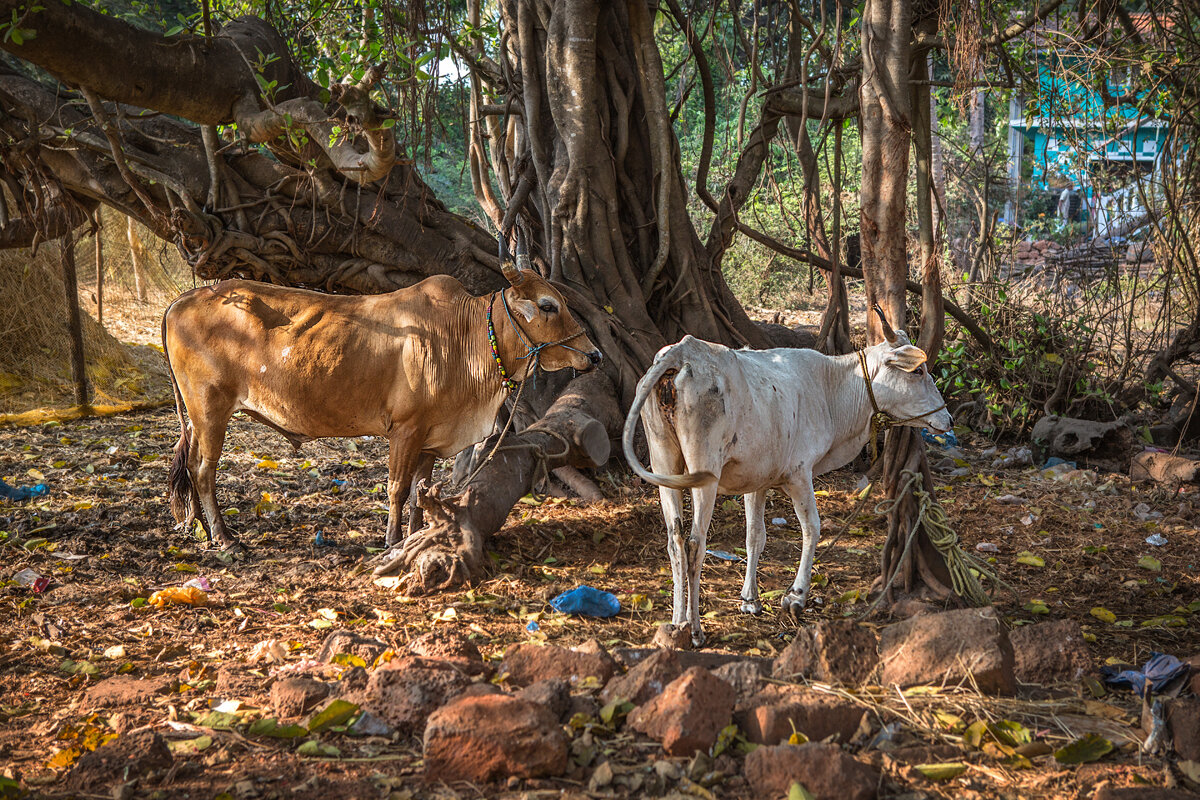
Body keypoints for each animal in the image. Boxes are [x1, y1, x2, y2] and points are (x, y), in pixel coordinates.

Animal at [162, 260, 600, 554]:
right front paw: (392, 540)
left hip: (199, 418)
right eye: (547, 305)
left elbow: (420, 490)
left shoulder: (430, 436)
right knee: (204, 471)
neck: (465, 336)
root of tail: (184, 298)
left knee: (189, 465)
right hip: (210, 411)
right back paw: (222, 537)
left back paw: (196, 526)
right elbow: (397, 488)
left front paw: (420, 532)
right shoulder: (405, 430)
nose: (594, 355)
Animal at [624, 309, 950, 647]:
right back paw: (696, 629)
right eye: (918, 371)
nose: (947, 419)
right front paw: (796, 596)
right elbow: (811, 529)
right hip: (705, 475)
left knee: (675, 542)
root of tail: (683, 351)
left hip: (665, 463)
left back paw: (677, 623)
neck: (834, 387)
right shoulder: (799, 474)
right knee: (693, 545)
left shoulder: (756, 481)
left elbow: (755, 537)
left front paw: (750, 600)